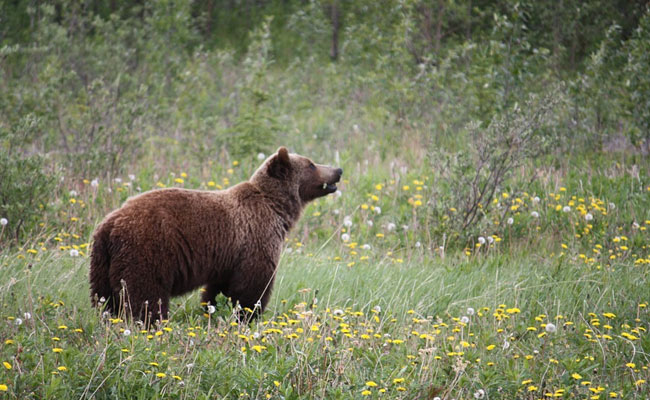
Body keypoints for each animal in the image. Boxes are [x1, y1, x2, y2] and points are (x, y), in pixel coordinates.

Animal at [89, 147, 342, 322]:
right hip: (147, 250)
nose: (338, 170)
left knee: (104, 299)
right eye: (311, 164)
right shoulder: (256, 238)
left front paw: (213, 310)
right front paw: (248, 316)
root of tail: (110, 224)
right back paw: (150, 323)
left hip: (101, 261)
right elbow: (252, 287)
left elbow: (218, 289)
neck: (276, 208)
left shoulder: (228, 256)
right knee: (145, 295)